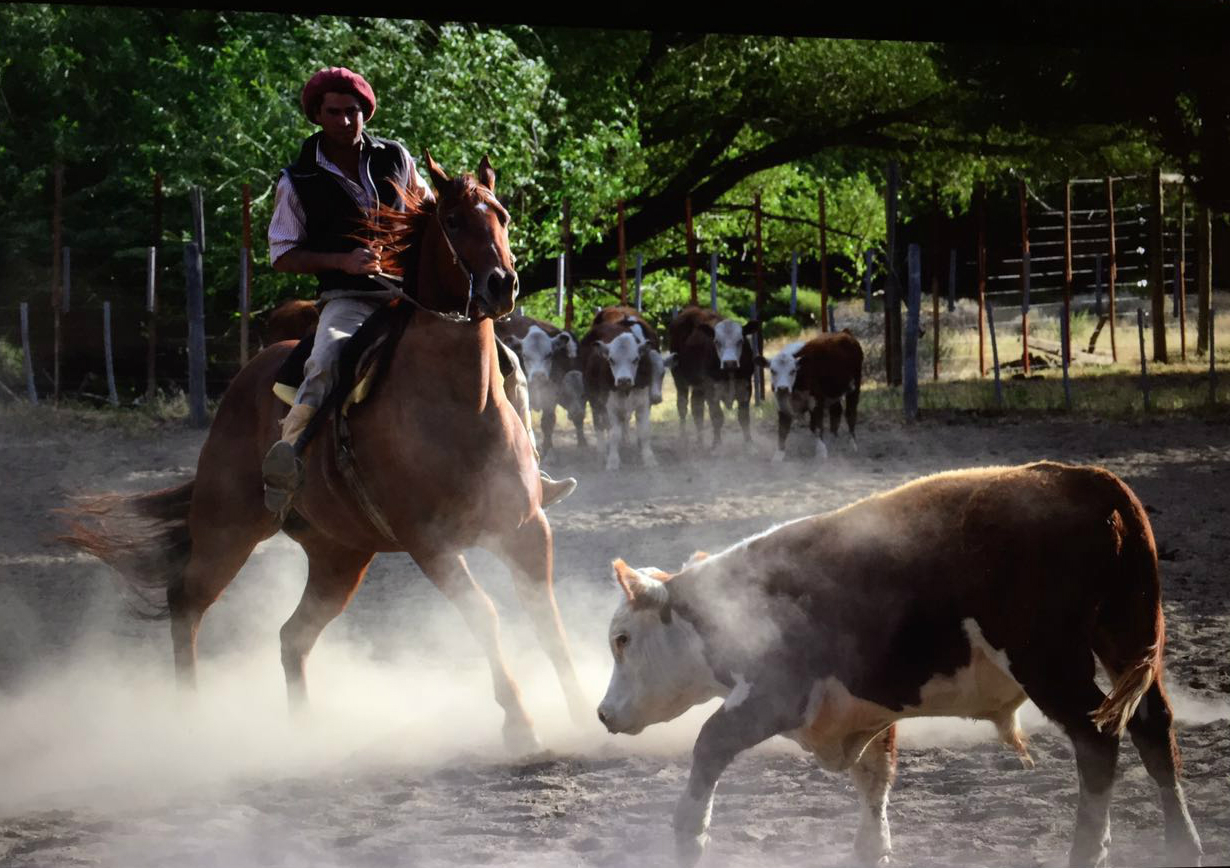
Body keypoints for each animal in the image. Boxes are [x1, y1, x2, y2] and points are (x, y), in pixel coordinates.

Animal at [494, 312, 584, 455]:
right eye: (525, 355)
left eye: (549, 354)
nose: (538, 375)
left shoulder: (551, 394)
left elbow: (548, 422)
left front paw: (548, 449)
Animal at [579, 306, 675, 471]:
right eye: (611, 360)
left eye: (636, 359)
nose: (624, 380)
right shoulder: (610, 405)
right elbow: (613, 433)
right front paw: (612, 461)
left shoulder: (644, 402)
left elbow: (644, 431)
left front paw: (648, 458)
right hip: (594, 399)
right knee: (599, 423)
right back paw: (601, 452)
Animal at [597, 462, 1202, 868]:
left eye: (622, 639)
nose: (602, 715)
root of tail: (1089, 481)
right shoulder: (865, 710)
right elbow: (876, 777)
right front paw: (873, 847)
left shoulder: (774, 695)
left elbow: (709, 746)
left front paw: (691, 834)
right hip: (1125, 635)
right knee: (1153, 729)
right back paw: (1182, 845)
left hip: (1050, 663)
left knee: (1097, 741)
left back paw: (1088, 851)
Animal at [668, 305, 760, 450]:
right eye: (717, 342)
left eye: (740, 340)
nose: (730, 362)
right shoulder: (711, 390)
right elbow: (717, 417)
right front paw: (717, 445)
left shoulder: (745, 387)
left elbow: (744, 417)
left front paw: (749, 444)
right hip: (679, 378)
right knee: (682, 407)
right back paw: (683, 438)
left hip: (699, 387)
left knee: (697, 408)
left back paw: (700, 440)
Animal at [755, 330, 863, 463]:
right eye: (772, 371)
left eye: (793, 371)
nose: (782, 388)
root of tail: (844, 332)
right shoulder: (783, 405)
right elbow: (782, 430)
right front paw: (778, 456)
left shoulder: (816, 402)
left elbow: (816, 426)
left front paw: (821, 452)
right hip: (833, 394)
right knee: (836, 411)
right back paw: (833, 441)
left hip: (854, 387)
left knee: (850, 414)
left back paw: (852, 445)